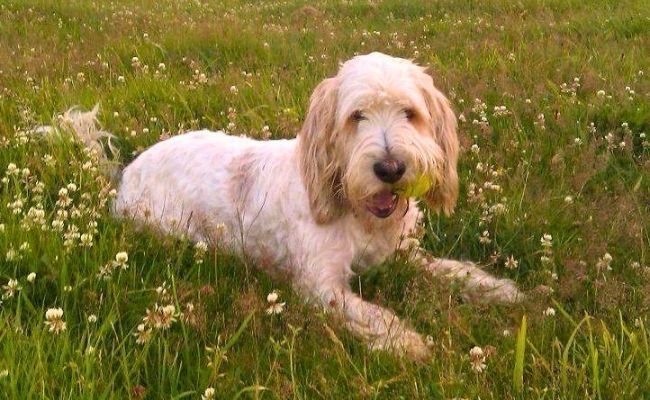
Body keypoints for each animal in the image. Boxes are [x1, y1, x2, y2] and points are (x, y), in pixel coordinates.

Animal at [60, 51, 520, 360]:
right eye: (357, 116)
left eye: (410, 113)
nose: (390, 169)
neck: (358, 212)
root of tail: (125, 173)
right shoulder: (320, 286)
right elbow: (372, 315)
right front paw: (405, 341)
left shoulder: (404, 256)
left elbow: (451, 271)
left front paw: (498, 289)